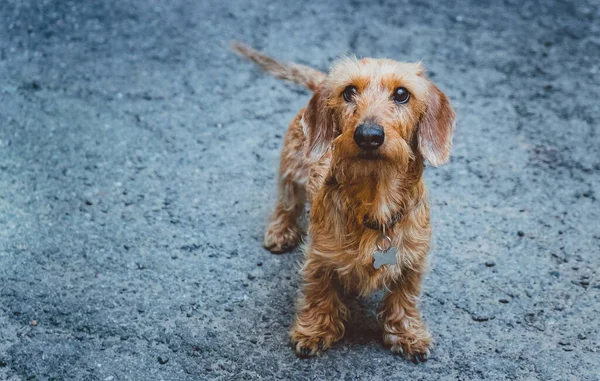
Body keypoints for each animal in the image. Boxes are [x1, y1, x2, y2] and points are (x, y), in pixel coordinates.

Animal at [232, 43, 458, 360]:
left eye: (402, 94)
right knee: (286, 203)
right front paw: (315, 331)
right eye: (349, 91)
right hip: (290, 168)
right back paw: (280, 231)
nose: (368, 135)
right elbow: (319, 290)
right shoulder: (319, 255)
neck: (374, 199)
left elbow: (405, 296)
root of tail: (320, 82)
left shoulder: (414, 259)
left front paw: (407, 333)